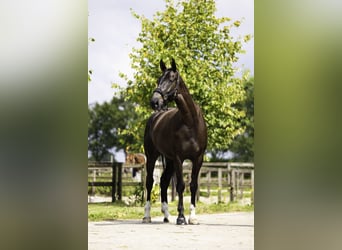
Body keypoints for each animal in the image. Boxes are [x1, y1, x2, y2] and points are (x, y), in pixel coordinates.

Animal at [141, 58, 206, 225]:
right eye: (158, 80)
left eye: (171, 79)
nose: (155, 102)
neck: (190, 122)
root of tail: (155, 117)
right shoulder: (178, 158)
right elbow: (181, 186)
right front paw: (181, 217)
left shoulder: (198, 158)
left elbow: (193, 185)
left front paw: (193, 217)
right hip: (152, 156)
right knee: (150, 182)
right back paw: (147, 216)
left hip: (169, 160)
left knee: (164, 182)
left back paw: (166, 215)